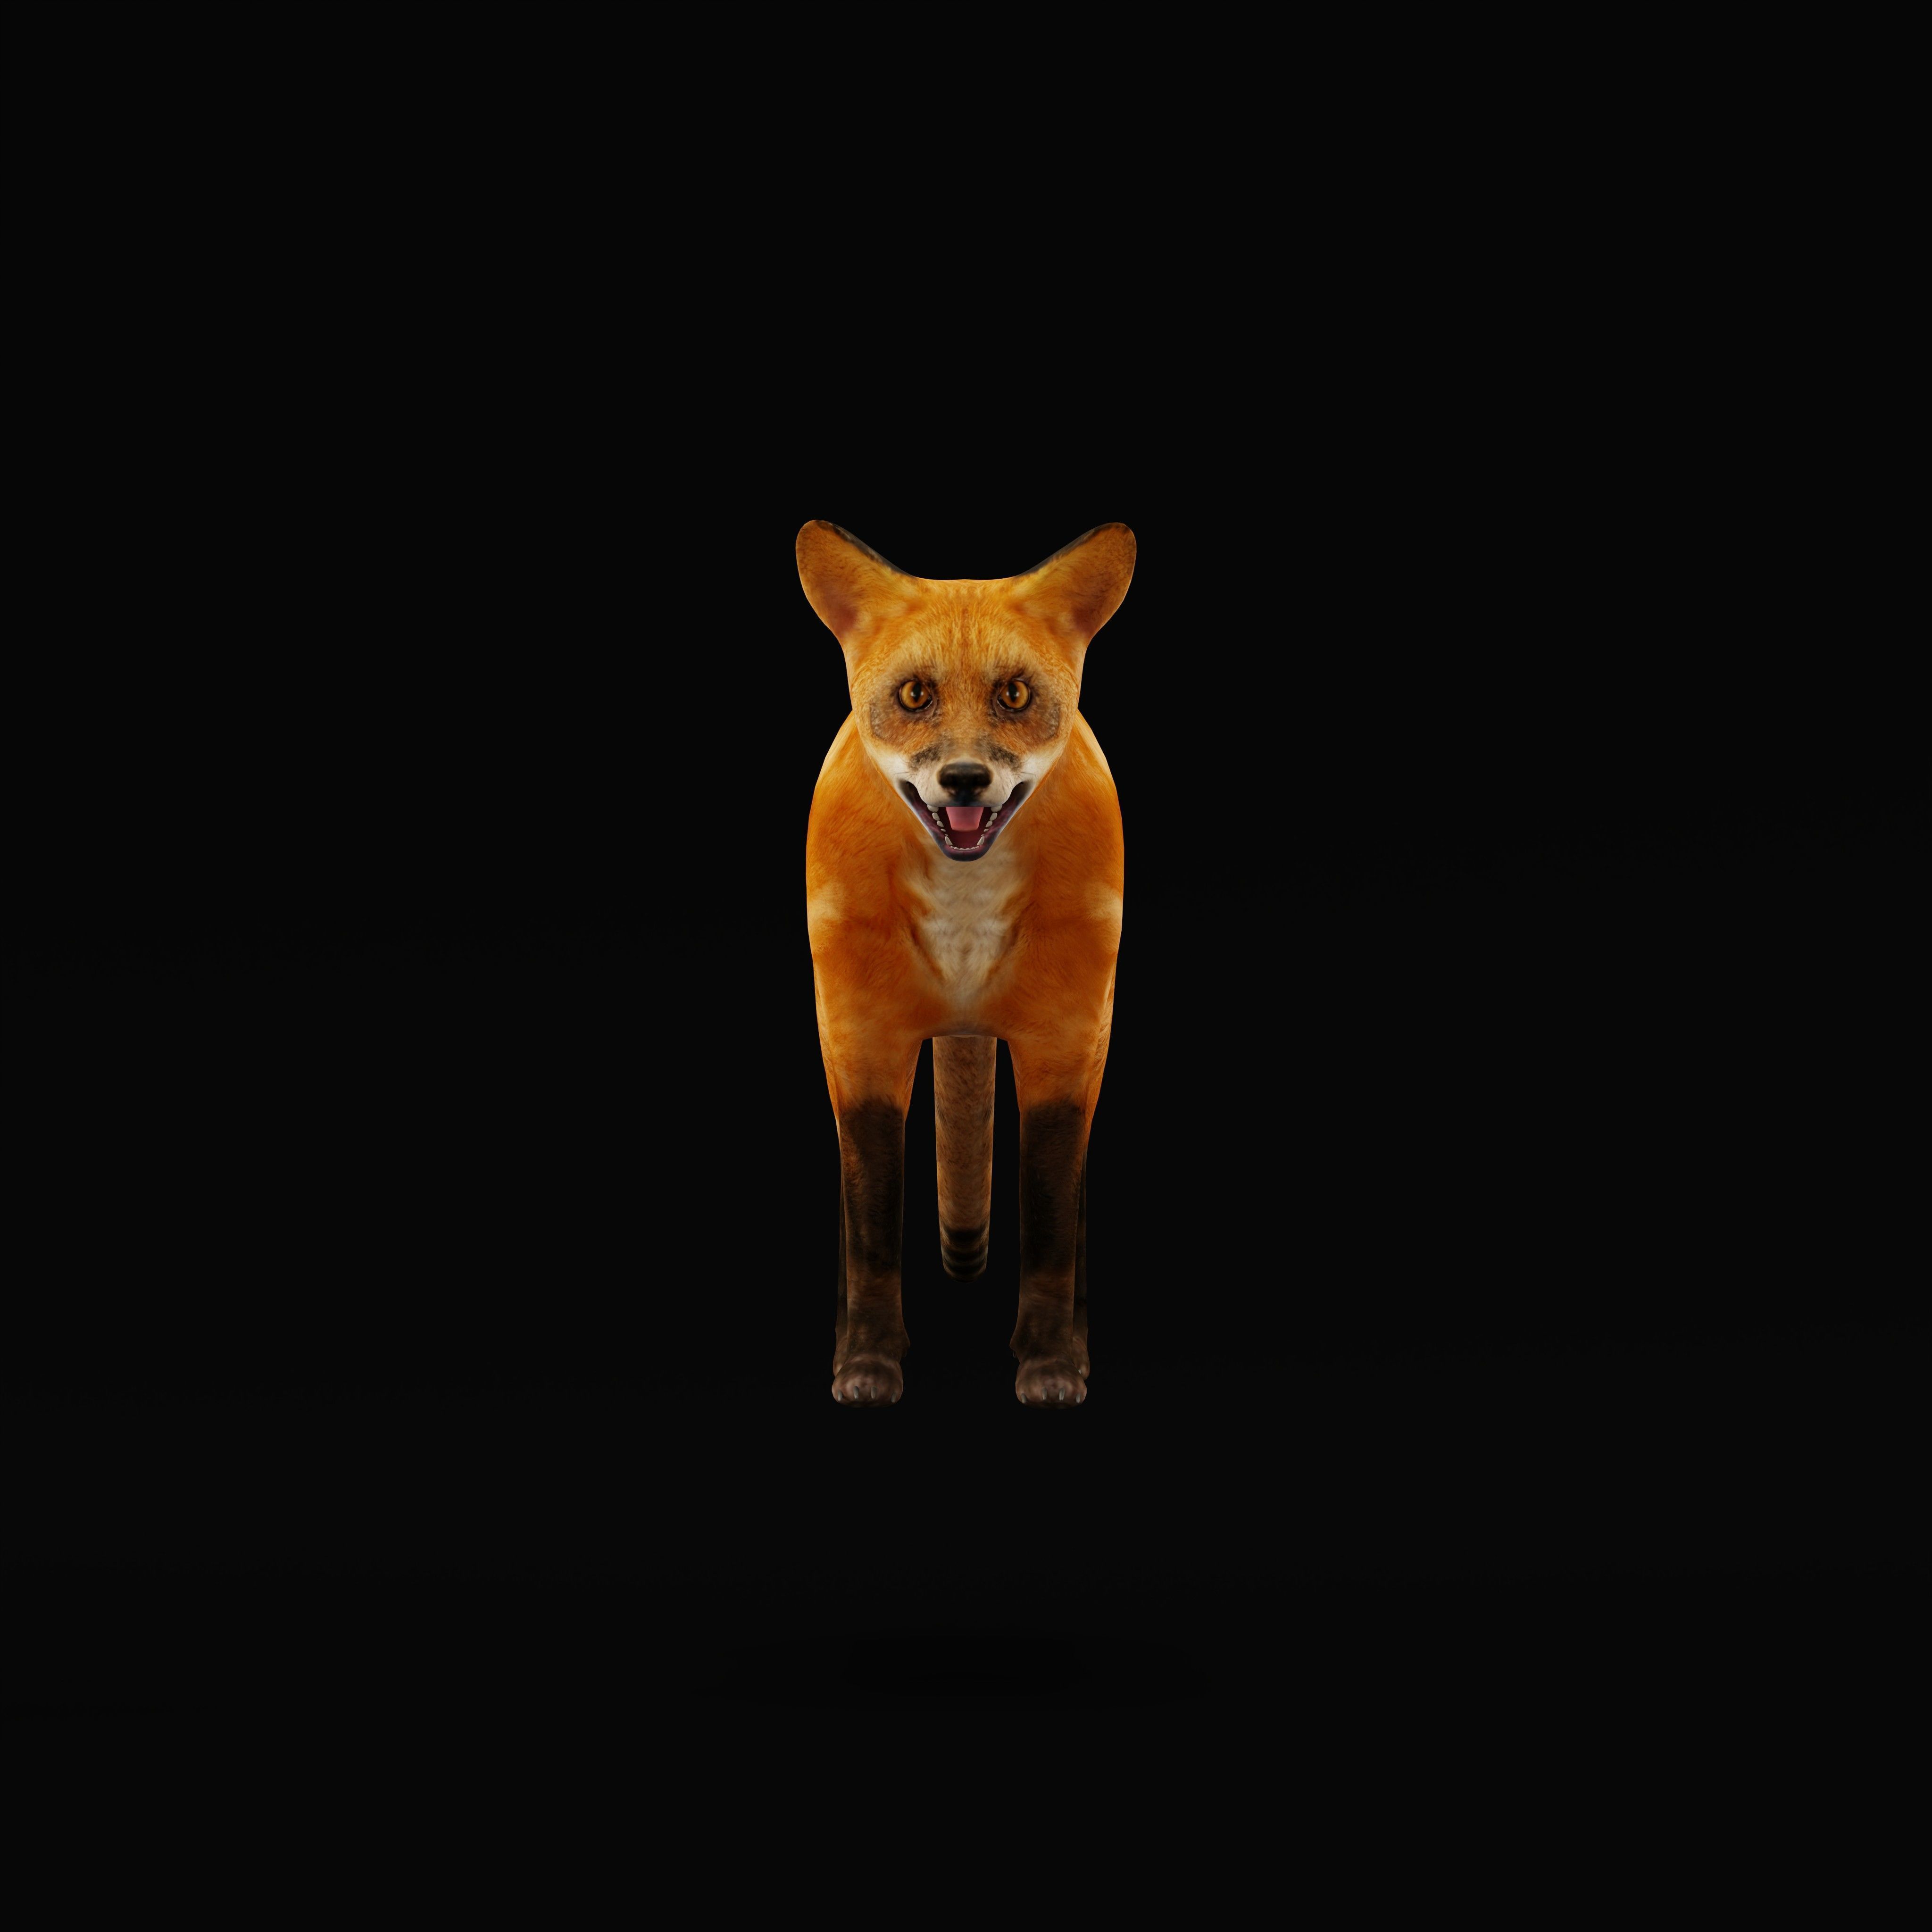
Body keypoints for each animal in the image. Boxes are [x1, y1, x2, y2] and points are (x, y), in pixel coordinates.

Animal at [798, 519, 1135, 1410]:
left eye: (1014, 696)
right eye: (915, 696)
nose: (963, 779)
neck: (964, 923)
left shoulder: (1065, 1042)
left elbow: (1050, 1225)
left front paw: (1050, 1363)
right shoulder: (861, 1040)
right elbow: (872, 1228)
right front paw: (867, 1362)